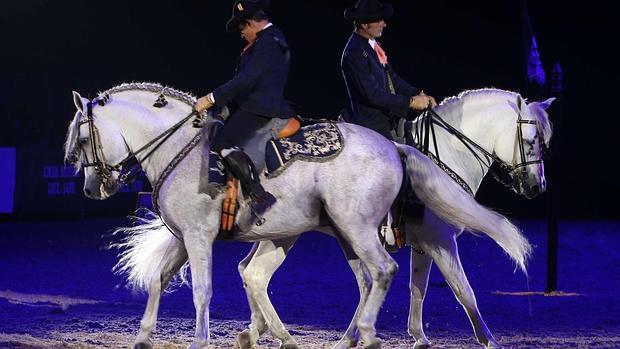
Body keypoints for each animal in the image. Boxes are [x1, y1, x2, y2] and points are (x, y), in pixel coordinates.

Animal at [65, 82, 506, 348]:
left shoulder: (197, 236)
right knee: (309, 278)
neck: (181, 149)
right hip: (327, 233)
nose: (92, 188)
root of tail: (392, 147)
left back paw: (362, 334)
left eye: (83, 139)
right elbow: (159, 279)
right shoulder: (182, 237)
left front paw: (200, 340)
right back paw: (306, 336)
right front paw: (143, 337)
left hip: (354, 229)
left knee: (381, 272)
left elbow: (202, 290)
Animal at [222, 88, 552, 346]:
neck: (445, 154)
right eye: (531, 140)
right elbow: (463, 290)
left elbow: (417, 287)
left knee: (247, 269)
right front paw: (488, 339)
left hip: (290, 232)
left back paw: (255, 331)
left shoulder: (424, 245)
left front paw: (418, 336)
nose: (537, 187)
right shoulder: (440, 239)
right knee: (256, 273)